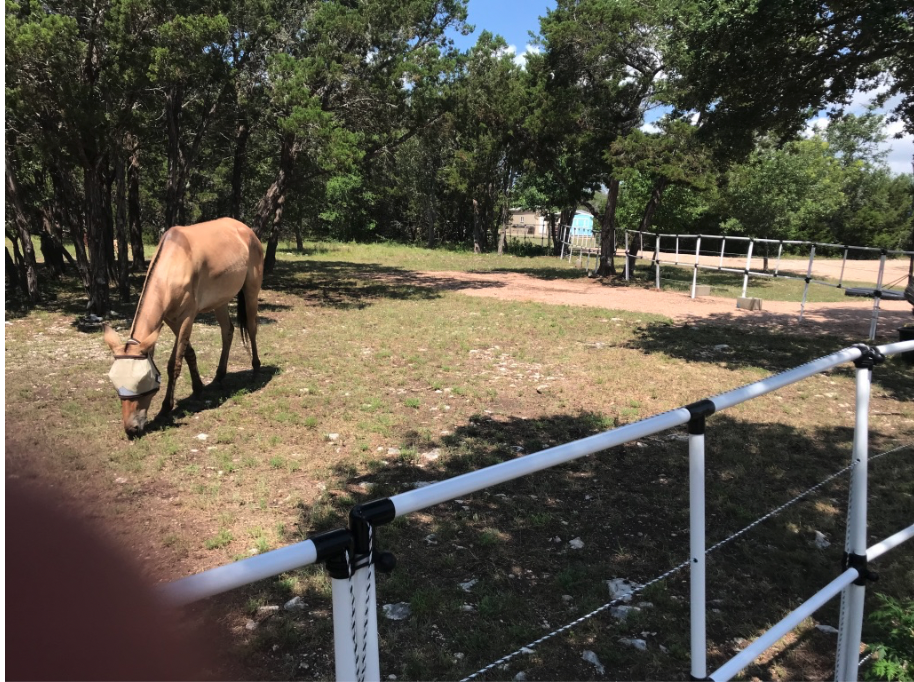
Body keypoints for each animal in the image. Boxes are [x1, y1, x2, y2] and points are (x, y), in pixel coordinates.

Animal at [104, 218, 263, 438]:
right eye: (115, 382)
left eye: (142, 381)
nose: (131, 428)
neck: (173, 264)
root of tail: (247, 231)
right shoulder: (171, 319)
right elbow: (188, 352)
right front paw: (198, 388)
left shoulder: (187, 317)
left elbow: (174, 363)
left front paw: (166, 407)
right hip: (220, 300)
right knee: (227, 331)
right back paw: (219, 376)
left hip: (251, 289)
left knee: (251, 327)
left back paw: (256, 368)